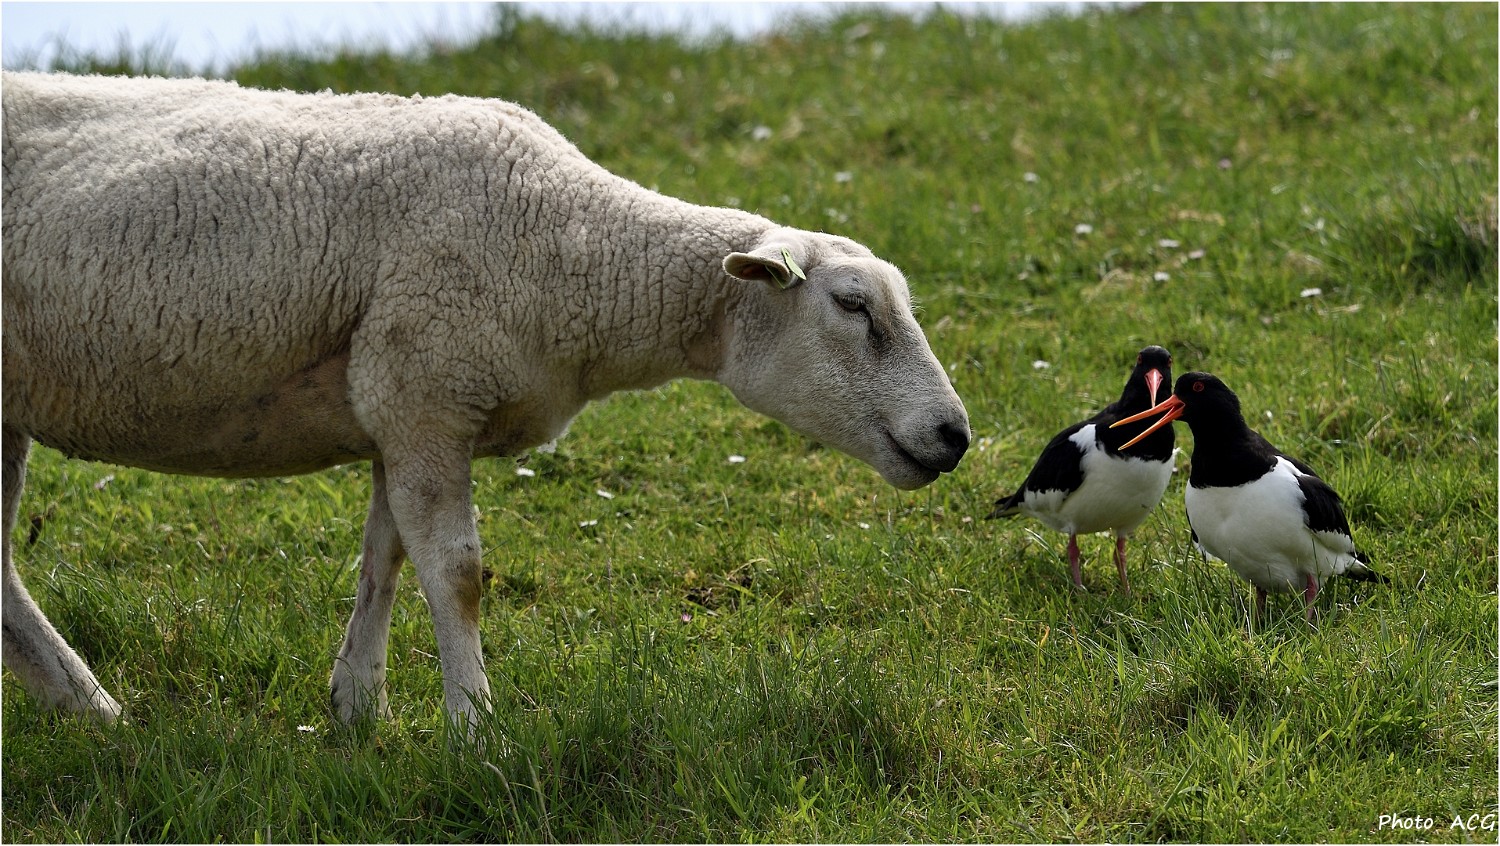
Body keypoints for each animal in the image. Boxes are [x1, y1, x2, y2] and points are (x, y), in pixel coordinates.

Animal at [1, 71, 971, 731]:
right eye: (853, 305)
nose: (955, 434)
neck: (571, 244)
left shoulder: (402, 413)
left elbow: (384, 559)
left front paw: (356, 706)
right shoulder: (426, 393)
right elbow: (458, 574)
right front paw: (474, 725)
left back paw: (91, 712)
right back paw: (90, 705)